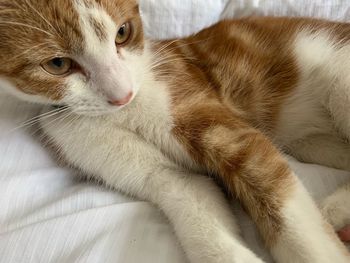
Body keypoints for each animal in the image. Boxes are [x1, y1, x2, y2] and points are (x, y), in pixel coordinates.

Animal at [0, 0, 350, 263]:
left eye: (123, 33)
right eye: (58, 64)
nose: (123, 95)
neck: (121, 114)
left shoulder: (218, 124)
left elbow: (287, 214)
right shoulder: (163, 175)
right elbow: (193, 201)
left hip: (338, 76)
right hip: (313, 142)